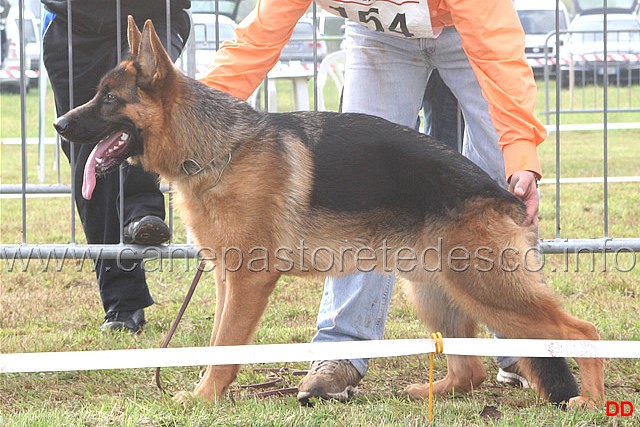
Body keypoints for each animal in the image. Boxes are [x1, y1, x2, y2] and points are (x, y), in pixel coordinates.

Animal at [55, 18, 604, 410]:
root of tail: (500, 193)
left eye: (109, 98)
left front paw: (205, 398)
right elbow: (216, 342)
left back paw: (590, 401)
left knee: (583, 333)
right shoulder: (224, 279)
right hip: (435, 289)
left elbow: (227, 344)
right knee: (470, 371)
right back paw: (431, 393)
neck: (220, 149)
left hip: (488, 288)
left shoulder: (249, 280)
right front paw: (206, 393)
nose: (59, 124)